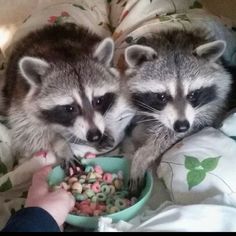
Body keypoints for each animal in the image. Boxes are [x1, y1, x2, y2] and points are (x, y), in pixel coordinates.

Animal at [2, 23, 134, 165]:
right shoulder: (21, 105)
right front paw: (62, 145)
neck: (62, 53)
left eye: (98, 101)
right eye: (69, 108)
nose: (94, 136)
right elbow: (31, 134)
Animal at [123, 28, 234, 194]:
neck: (173, 40)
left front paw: (143, 154)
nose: (182, 126)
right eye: (162, 96)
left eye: (193, 94)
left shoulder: (214, 104)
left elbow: (174, 132)